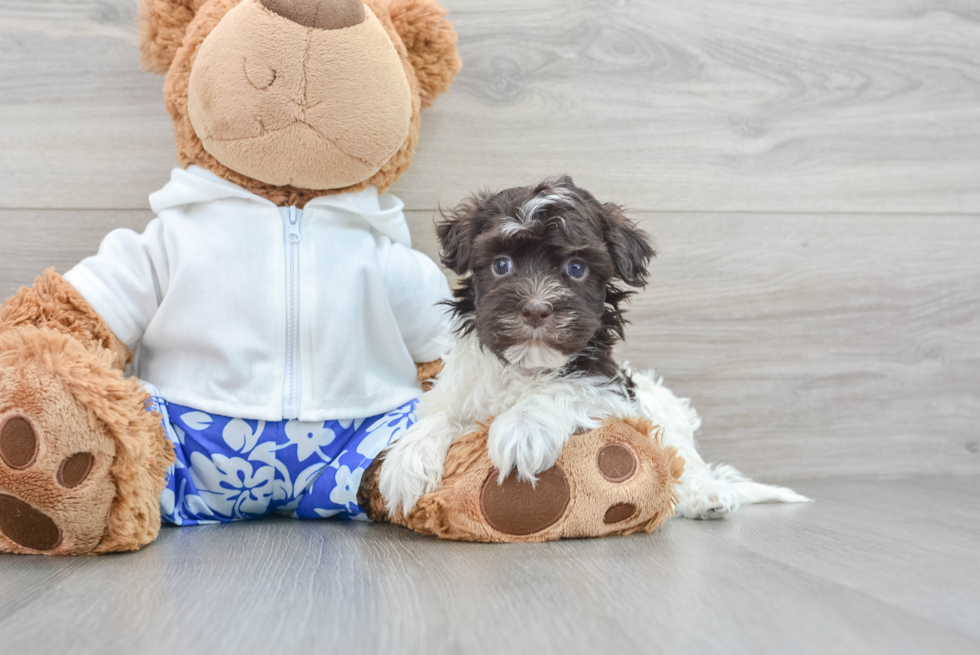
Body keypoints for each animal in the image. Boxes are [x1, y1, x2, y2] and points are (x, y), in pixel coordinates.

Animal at [378, 177, 808, 520]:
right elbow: (441, 414)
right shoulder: (456, 390)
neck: (528, 365)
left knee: (685, 459)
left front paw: (523, 427)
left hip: (667, 413)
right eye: (501, 265)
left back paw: (706, 495)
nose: (536, 309)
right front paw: (406, 460)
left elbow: (565, 389)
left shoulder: (612, 391)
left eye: (576, 269)